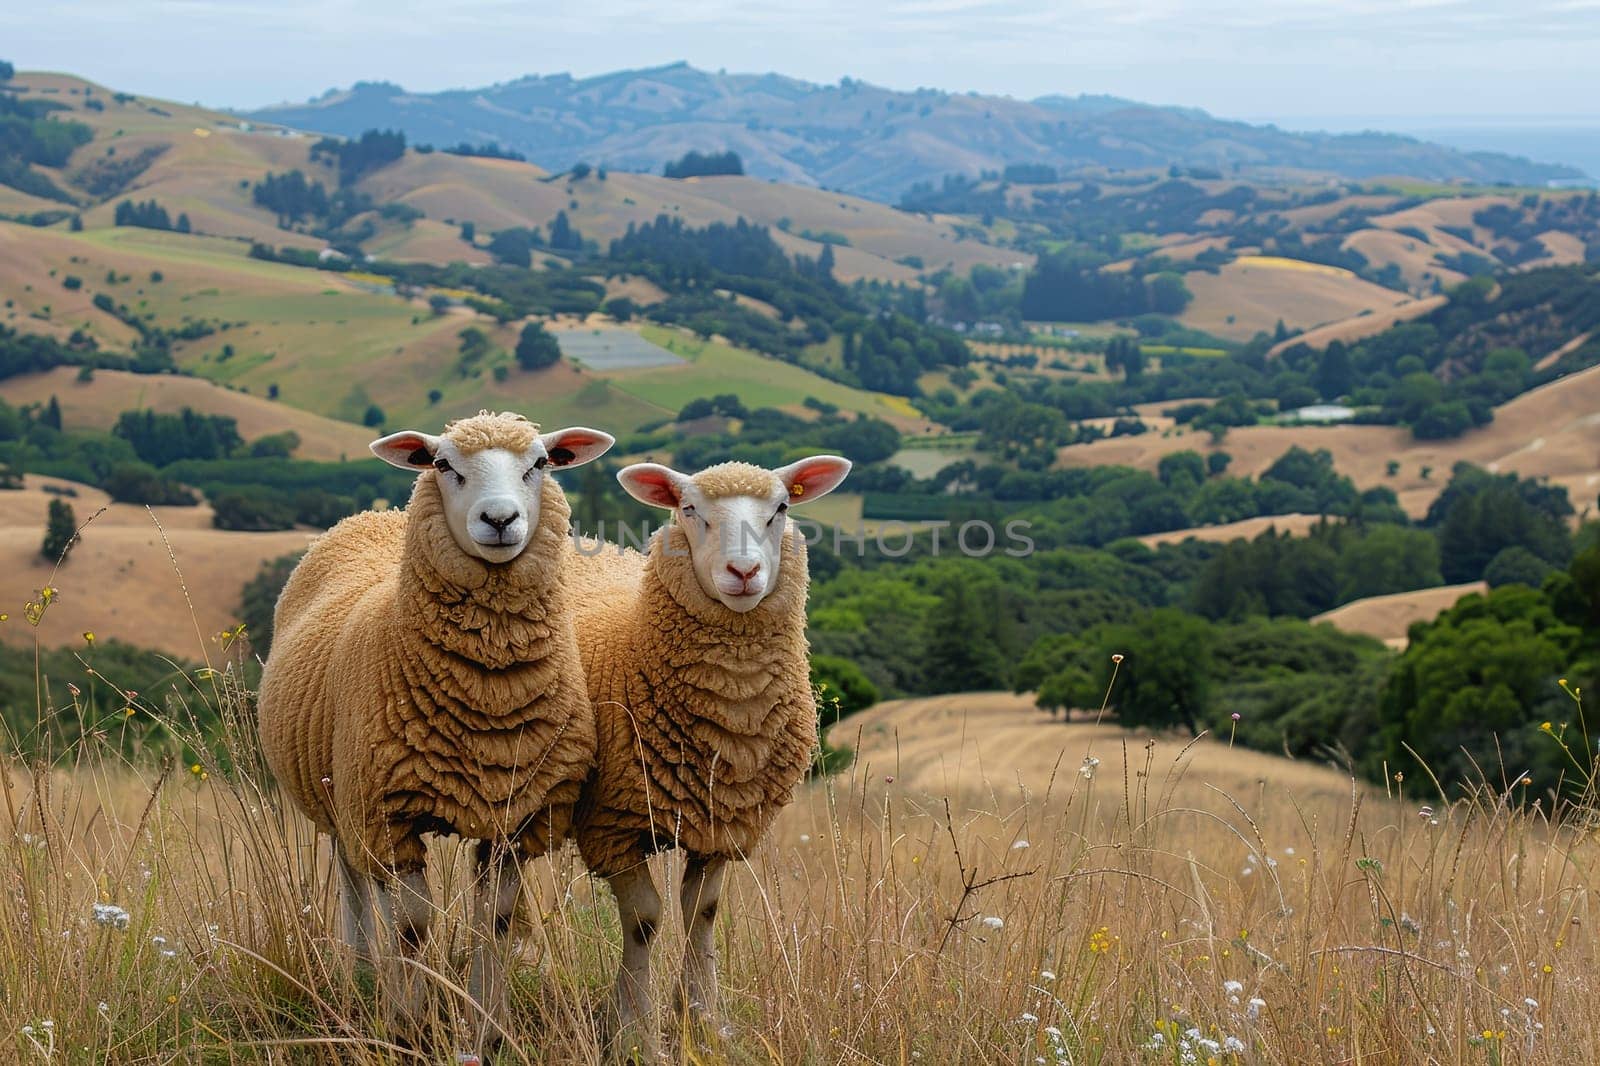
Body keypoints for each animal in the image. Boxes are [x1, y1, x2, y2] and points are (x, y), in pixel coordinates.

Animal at [256, 409, 611, 1030]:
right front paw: (410, 1022)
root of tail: (372, 515)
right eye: (444, 464)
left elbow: (495, 924)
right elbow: (411, 928)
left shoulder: (514, 821)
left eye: (541, 462)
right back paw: (363, 976)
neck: (488, 702)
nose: (499, 519)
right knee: (355, 886)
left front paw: (489, 1024)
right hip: (342, 798)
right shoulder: (386, 816)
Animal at [569, 451, 857, 1043]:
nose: (743, 574)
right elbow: (645, 920)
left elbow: (701, 911)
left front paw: (701, 1017)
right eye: (688, 509)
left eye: (782, 507)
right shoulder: (611, 825)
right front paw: (633, 1023)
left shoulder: (723, 820)